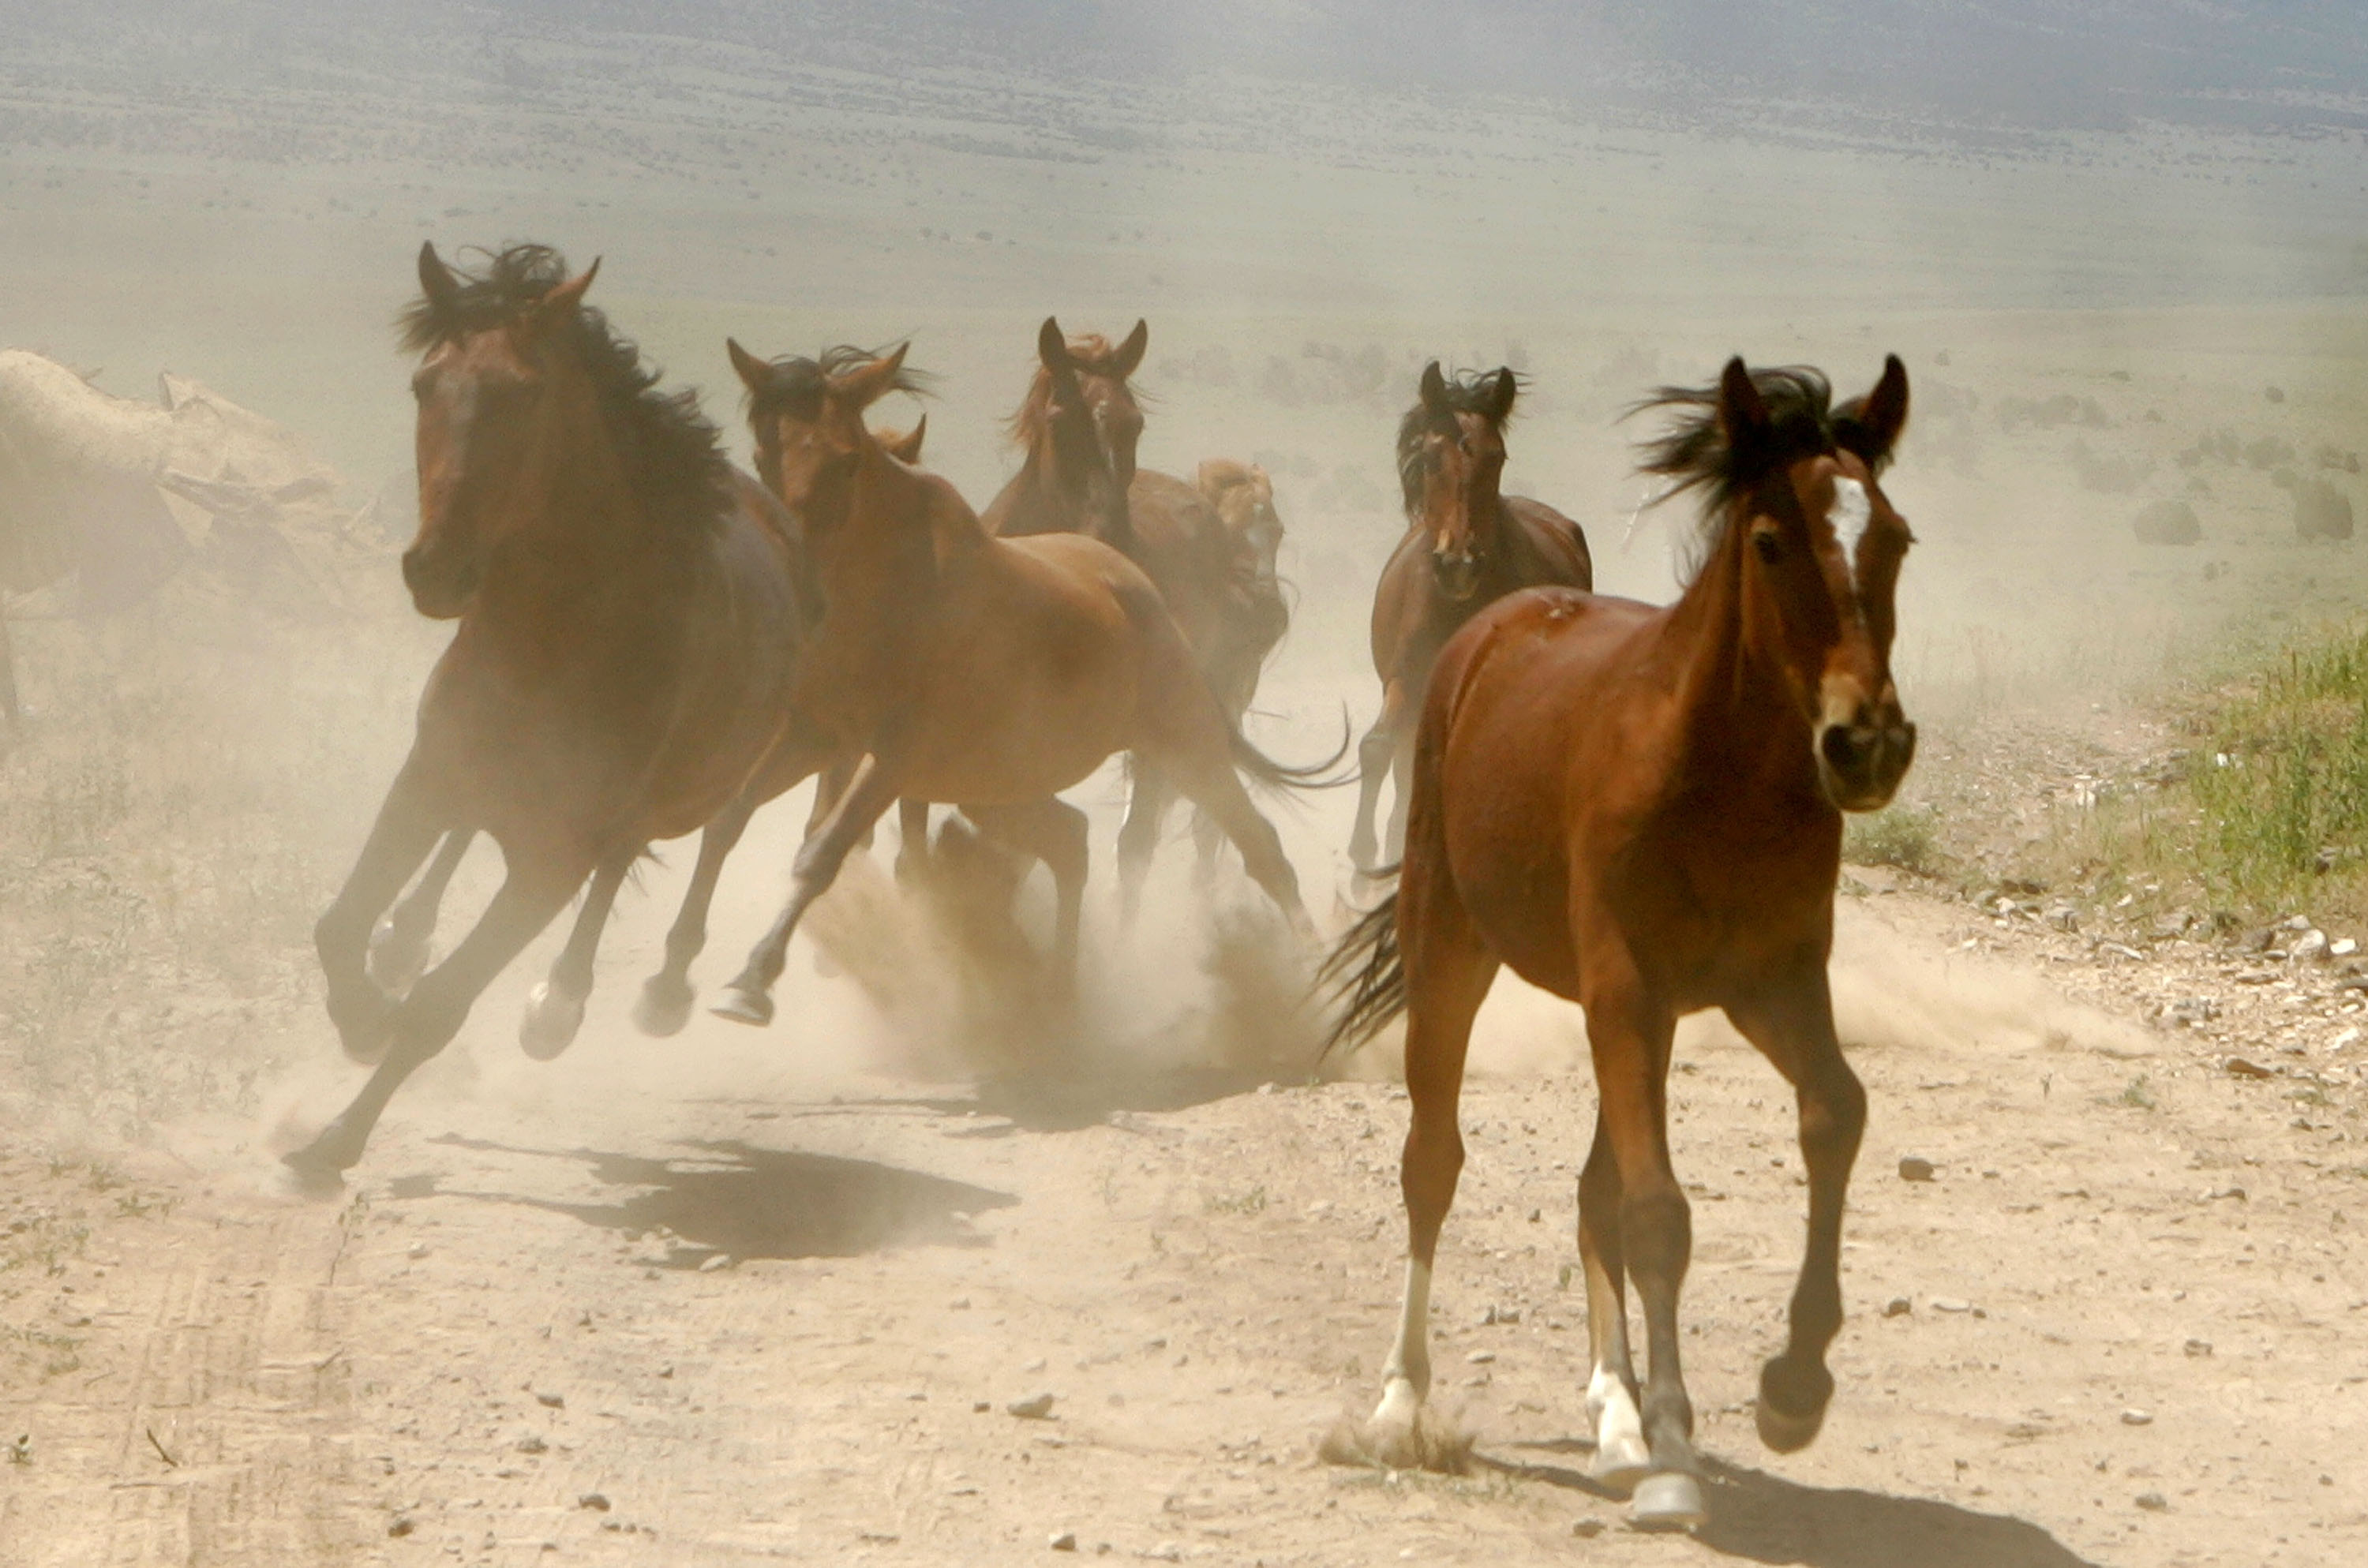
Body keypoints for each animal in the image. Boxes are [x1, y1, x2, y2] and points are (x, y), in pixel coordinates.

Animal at [275, 246, 810, 1179]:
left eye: (525, 395)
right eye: (425, 383)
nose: (436, 569)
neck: (562, 625)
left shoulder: (554, 857)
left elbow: (442, 1006)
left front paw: (335, 1140)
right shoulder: (430, 774)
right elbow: (338, 926)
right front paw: (363, 1014)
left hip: (706, 790)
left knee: (686, 847)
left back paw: (590, 1003)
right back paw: (408, 940)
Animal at [701, 346, 1336, 1032]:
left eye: (846, 461)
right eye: (762, 454)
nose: (793, 571)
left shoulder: (898, 754)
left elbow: (839, 846)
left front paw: (756, 977)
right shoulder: (834, 740)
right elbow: (790, 825)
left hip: (1183, 743)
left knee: (1228, 844)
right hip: (1010, 777)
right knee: (1079, 840)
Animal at [1354, 369, 1591, 885]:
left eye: (1496, 456)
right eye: (1429, 458)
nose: (1458, 564)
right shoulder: (1406, 680)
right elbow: (1378, 748)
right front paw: (1363, 860)